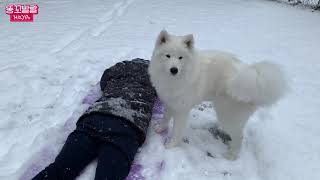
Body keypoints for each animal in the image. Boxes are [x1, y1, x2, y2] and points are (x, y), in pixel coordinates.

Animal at [148, 29, 288, 160]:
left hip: (228, 114)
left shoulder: (182, 109)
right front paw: (160, 129)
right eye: (168, 56)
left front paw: (171, 145)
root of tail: (256, 83)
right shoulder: (169, 102)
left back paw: (231, 156)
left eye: (180, 57)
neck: (174, 79)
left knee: (239, 137)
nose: (174, 69)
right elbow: (165, 118)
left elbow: (177, 130)